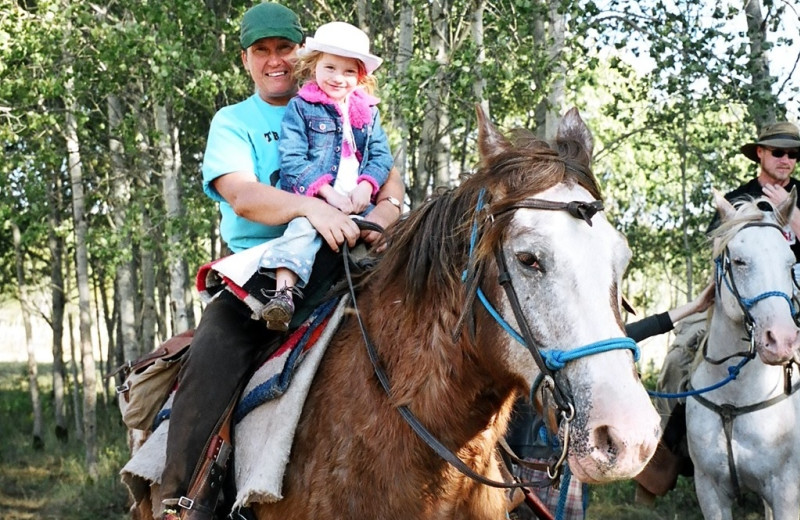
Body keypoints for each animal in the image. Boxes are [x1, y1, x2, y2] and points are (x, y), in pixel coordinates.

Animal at [688, 191, 800, 520]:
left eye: (790, 263)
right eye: (739, 261)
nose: (782, 340)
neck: (734, 402)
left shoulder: (786, 493)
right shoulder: (710, 492)